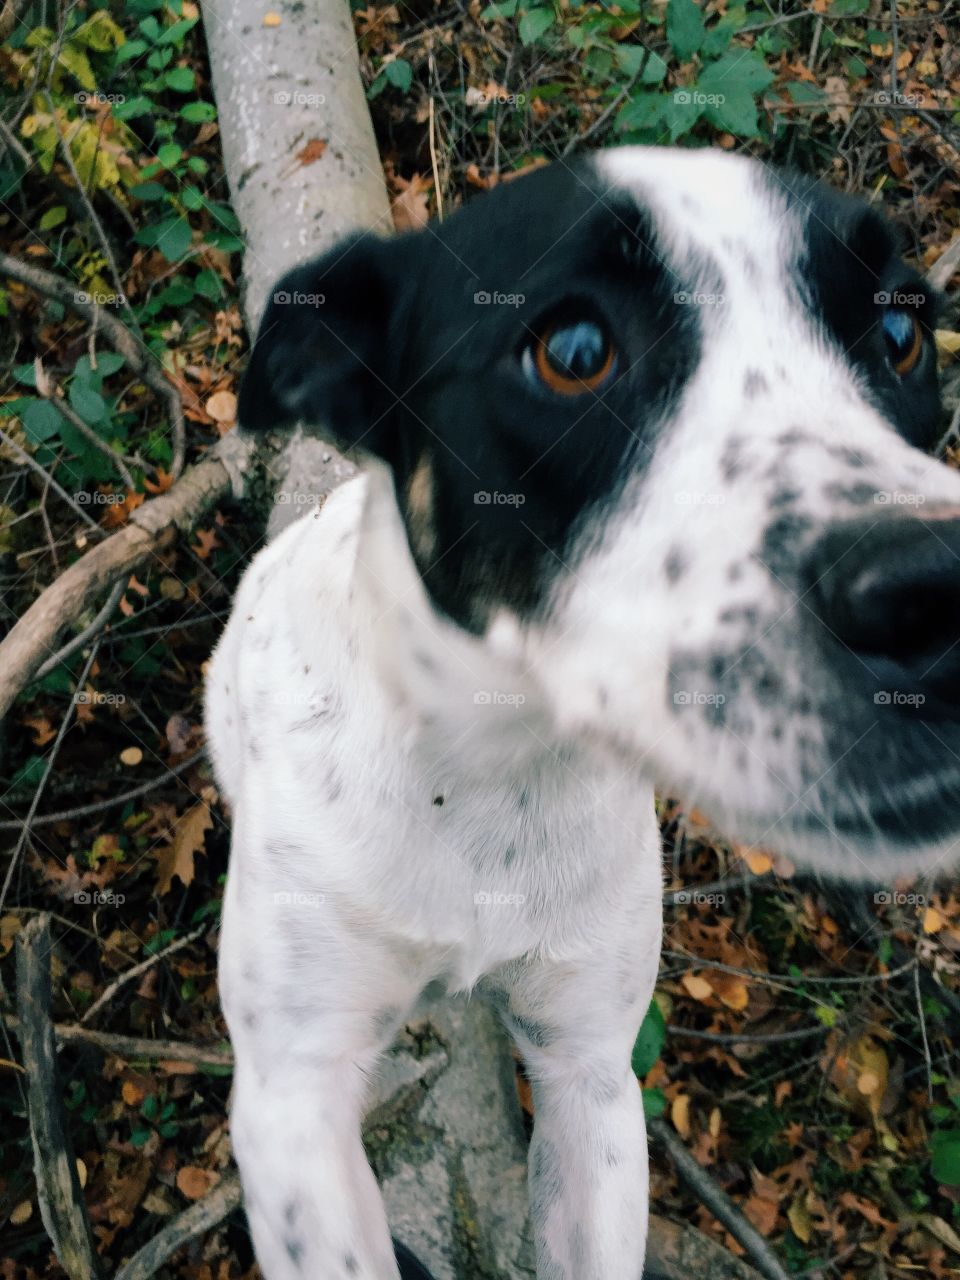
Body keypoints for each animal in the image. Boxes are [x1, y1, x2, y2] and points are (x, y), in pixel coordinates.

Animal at [204, 147, 960, 1280]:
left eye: (904, 334)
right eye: (571, 352)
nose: (941, 593)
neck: (486, 780)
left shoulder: (591, 1075)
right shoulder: (293, 1096)